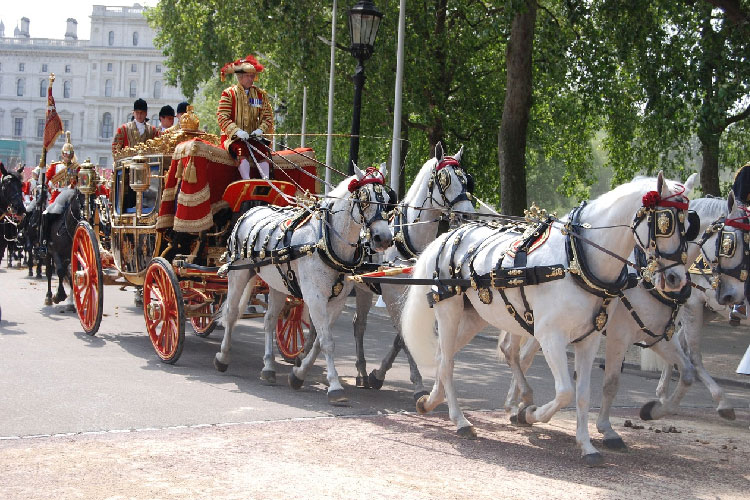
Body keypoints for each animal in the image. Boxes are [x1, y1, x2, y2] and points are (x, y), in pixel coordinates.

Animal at [216, 164, 394, 406]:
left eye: (388, 200)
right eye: (364, 199)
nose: (383, 239)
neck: (325, 241)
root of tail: (250, 211)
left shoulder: (336, 301)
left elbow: (320, 340)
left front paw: (298, 374)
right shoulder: (315, 298)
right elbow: (327, 341)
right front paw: (335, 387)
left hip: (278, 283)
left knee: (269, 320)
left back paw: (269, 368)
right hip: (239, 273)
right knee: (232, 313)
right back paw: (223, 357)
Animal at [352, 143, 476, 400]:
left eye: (467, 180)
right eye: (445, 180)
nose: (468, 214)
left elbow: (402, 337)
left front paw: (378, 374)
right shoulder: (391, 295)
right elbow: (404, 334)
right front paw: (417, 383)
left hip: (363, 288)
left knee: (358, 324)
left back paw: (362, 372)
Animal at [406, 173, 692, 464]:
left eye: (689, 224)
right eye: (666, 222)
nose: (677, 279)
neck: (575, 259)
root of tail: (448, 235)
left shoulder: (590, 339)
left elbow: (583, 395)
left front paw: (587, 446)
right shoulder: (552, 336)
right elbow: (565, 392)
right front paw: (529, 413)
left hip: (474, 317)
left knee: (443, 357)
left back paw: (431, 401)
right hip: (449, 311)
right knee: (449, 363)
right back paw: (461, 420)